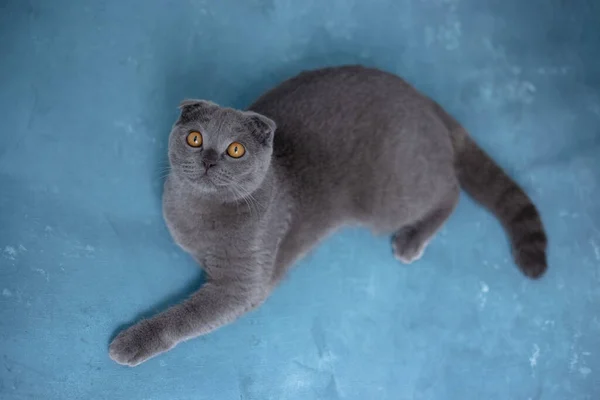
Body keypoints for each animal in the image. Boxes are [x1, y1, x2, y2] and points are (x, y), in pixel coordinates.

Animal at [109, 65, 548, 366]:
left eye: (236, 150)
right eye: (195, 138)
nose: (209, 160)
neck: (199, 217)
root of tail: (423, 101)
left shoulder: (243, 285)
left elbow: (183, 318)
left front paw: (130, 343)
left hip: (390, 196)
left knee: (451, 189)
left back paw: (411, 241)